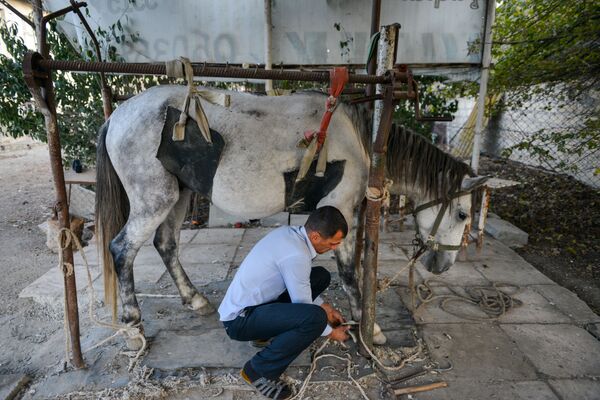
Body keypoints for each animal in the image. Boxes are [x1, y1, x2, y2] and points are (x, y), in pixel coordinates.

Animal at [95, 85, 488, 346]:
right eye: (462, 213)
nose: (443, 266)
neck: (359, 141)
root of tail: (116, 117)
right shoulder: (343, 211)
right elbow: (349, 273)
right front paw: (368, 326)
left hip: (180, 194)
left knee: (166, 243)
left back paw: (194, 299)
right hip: (155, 199)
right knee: (122, 250)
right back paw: (132, 325)